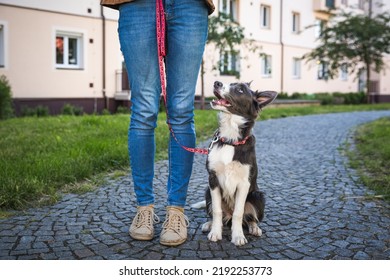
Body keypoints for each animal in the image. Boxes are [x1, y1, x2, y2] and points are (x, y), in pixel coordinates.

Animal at [192, 80, 278, 245]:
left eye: (240, 90)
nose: (217, 83)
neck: (230, 140)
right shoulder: (213, 179)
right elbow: (217, 211)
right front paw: (215, 232)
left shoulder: (244, 183)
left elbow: (239, 212)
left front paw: (238, 236)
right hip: (207, 191)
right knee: (219, 214)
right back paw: (209, 224)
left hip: (258, 196)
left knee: (248, 218)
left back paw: (254, 228)